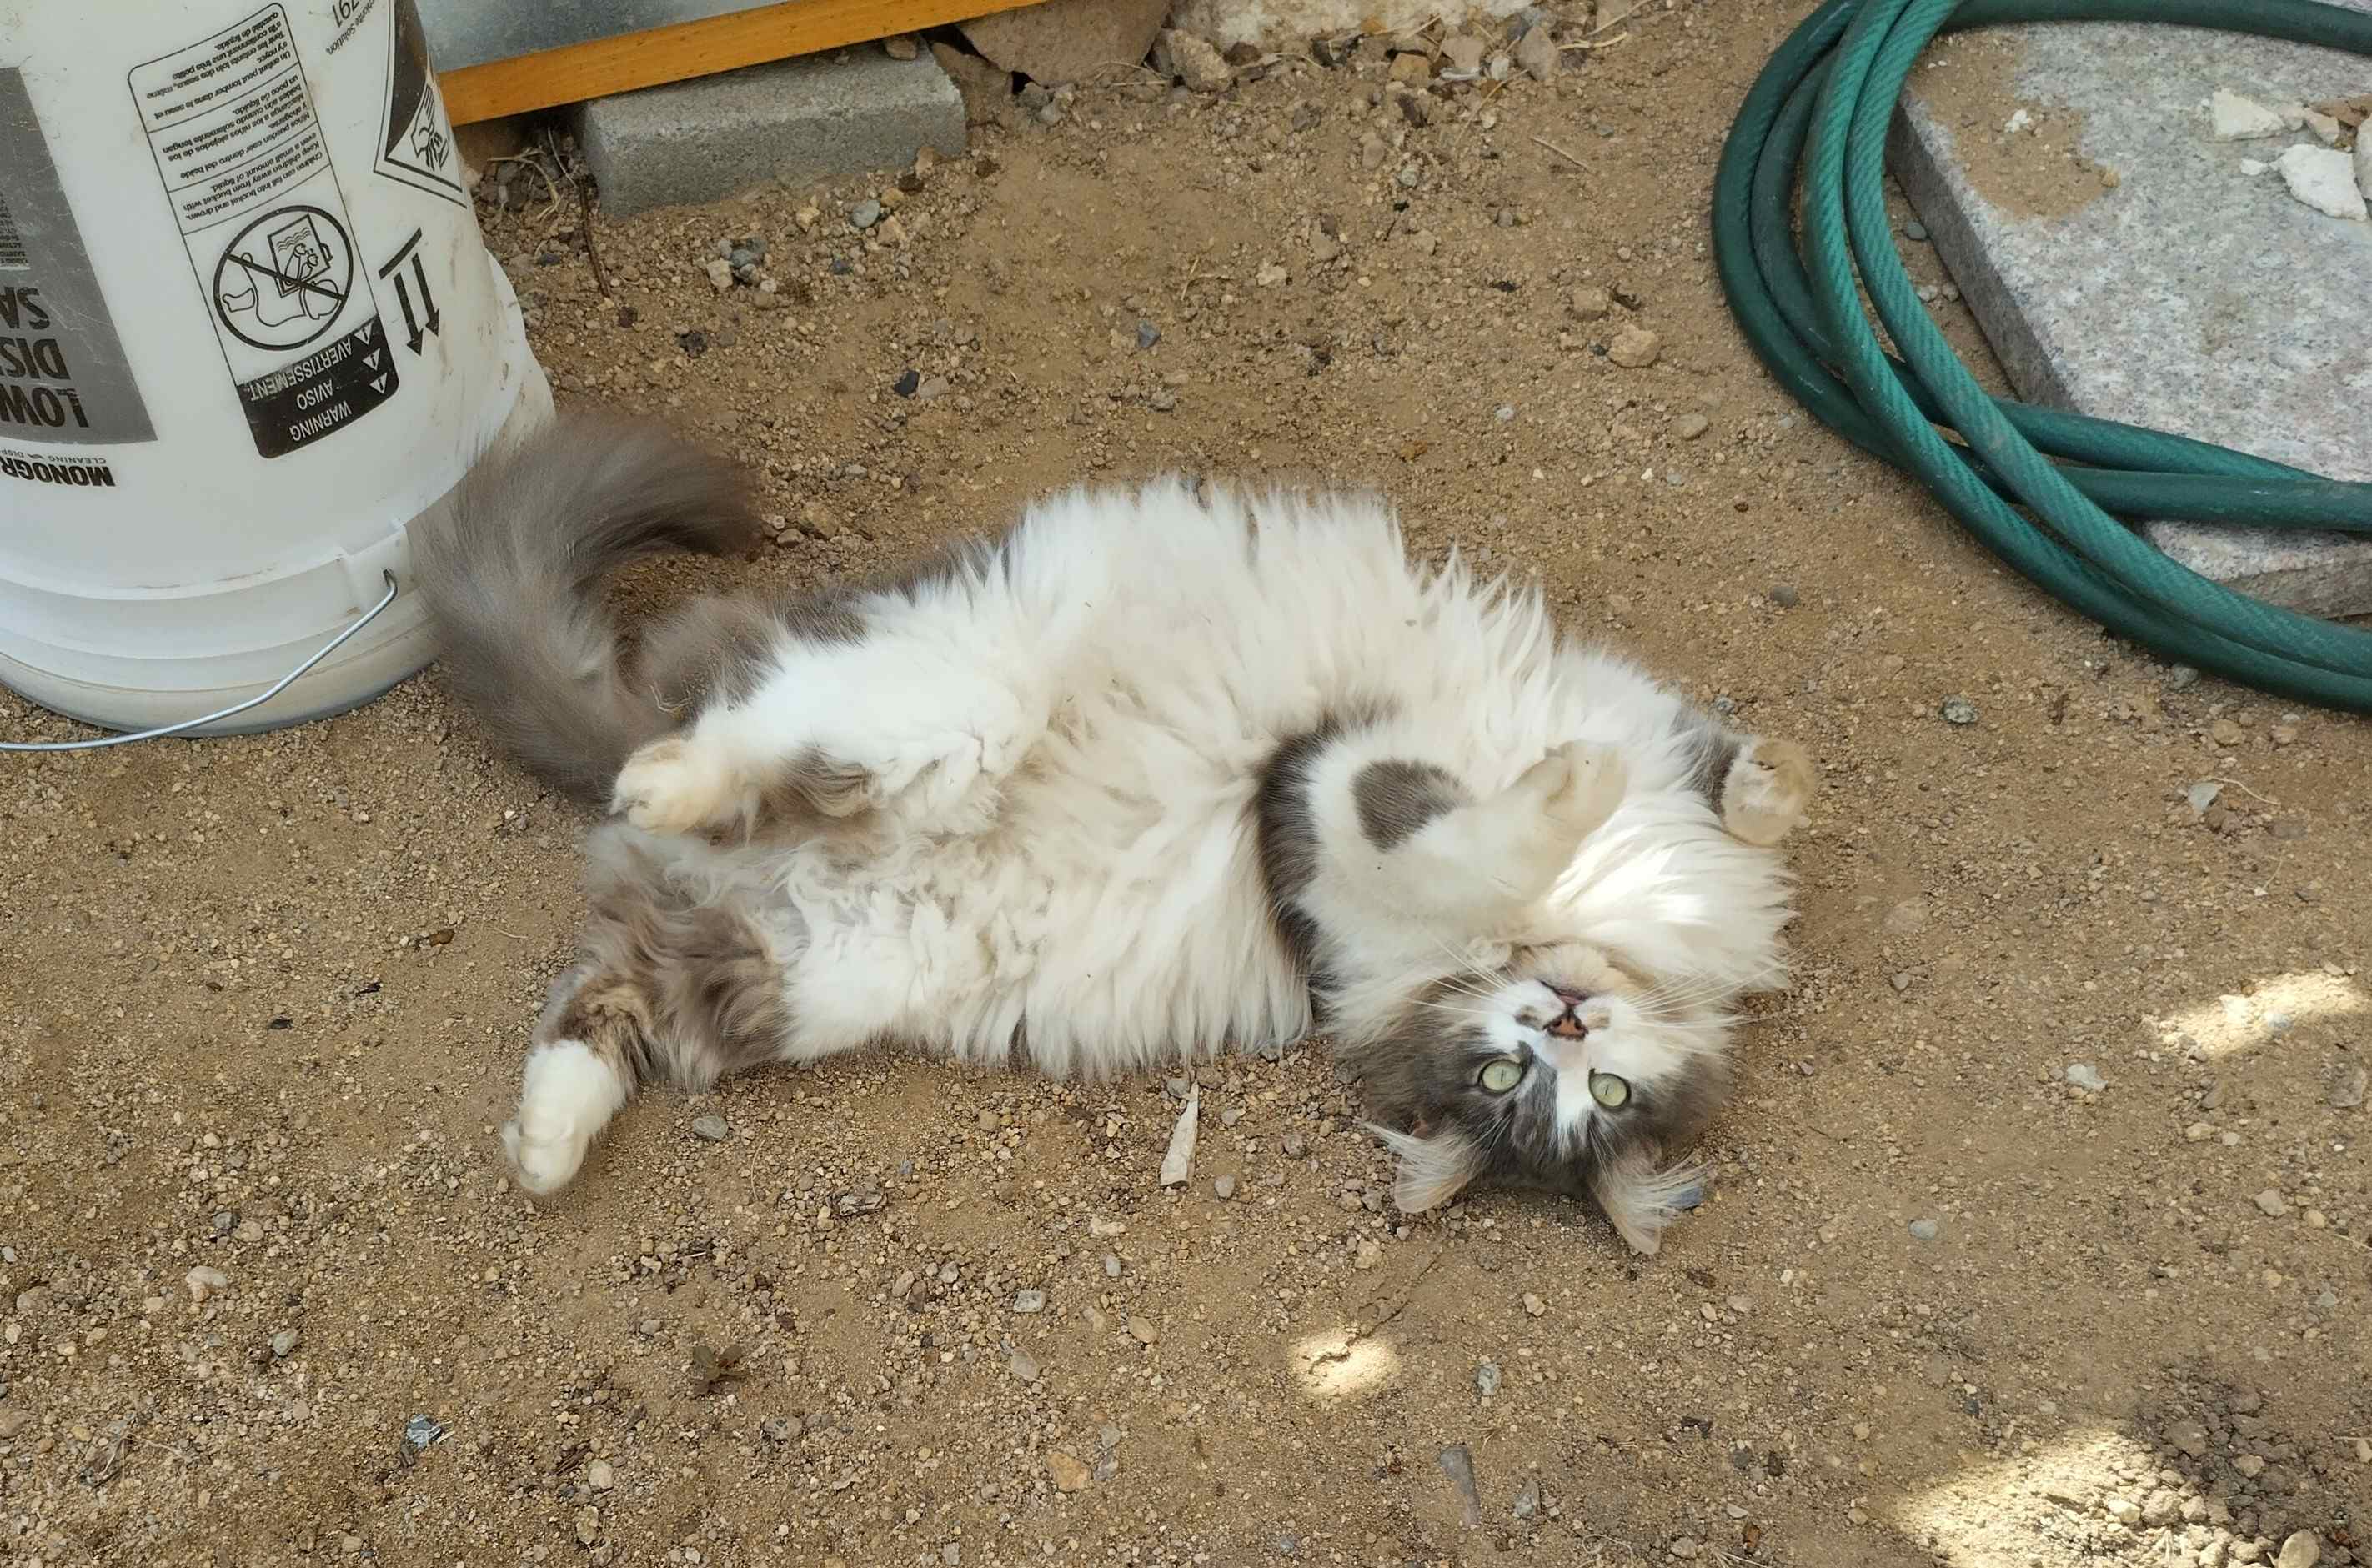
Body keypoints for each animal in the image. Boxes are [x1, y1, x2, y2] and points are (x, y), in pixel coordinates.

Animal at [414, 413, 1811, 1254]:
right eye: (1508, 1078)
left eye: (1601, 1094)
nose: (1563, 1022)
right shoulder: (1330, 778)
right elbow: (1522, 811)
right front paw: (1637, 788)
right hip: (949, 700)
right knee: (745, 741)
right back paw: (664, 779)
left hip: (792, 973)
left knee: (607, 1003)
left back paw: (542, 1146)